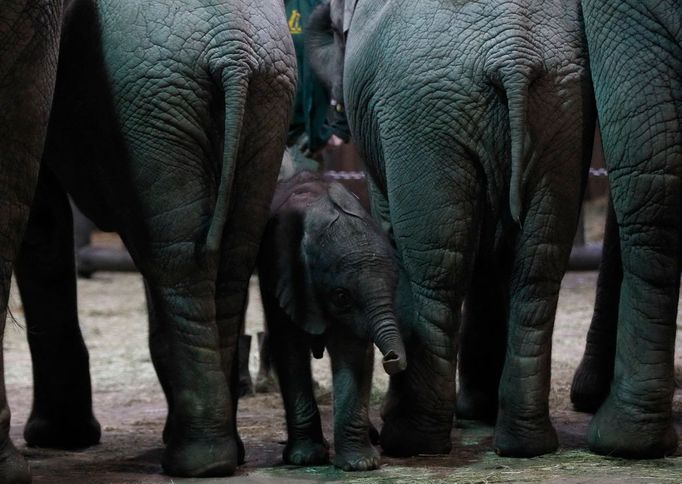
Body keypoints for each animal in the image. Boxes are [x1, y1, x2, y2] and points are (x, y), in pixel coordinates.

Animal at [256, 172, 404, 470]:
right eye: (341, 296)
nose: (393, 359)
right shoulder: (283, 275)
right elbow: (289, 350)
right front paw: (305, 458)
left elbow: (353, 352)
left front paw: (360, 465)